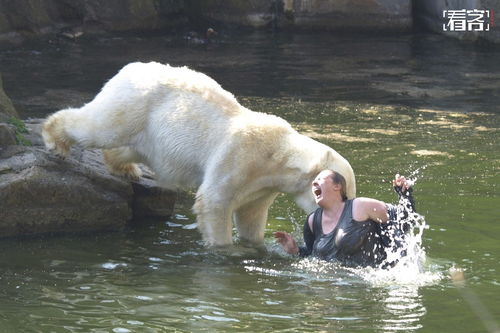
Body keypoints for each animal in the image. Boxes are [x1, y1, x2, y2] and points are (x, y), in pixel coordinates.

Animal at [43, 61, 356, 244]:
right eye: (344, 192)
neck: (277, 156)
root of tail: (130, 67)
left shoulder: (262, 187)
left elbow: (251, 215)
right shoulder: (239, 157)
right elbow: (214, 201)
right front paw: (224, 250)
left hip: (151, 132)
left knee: (132, 149)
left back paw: (126, 168)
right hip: (134, 103)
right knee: (100, 126)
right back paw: (55, 139)